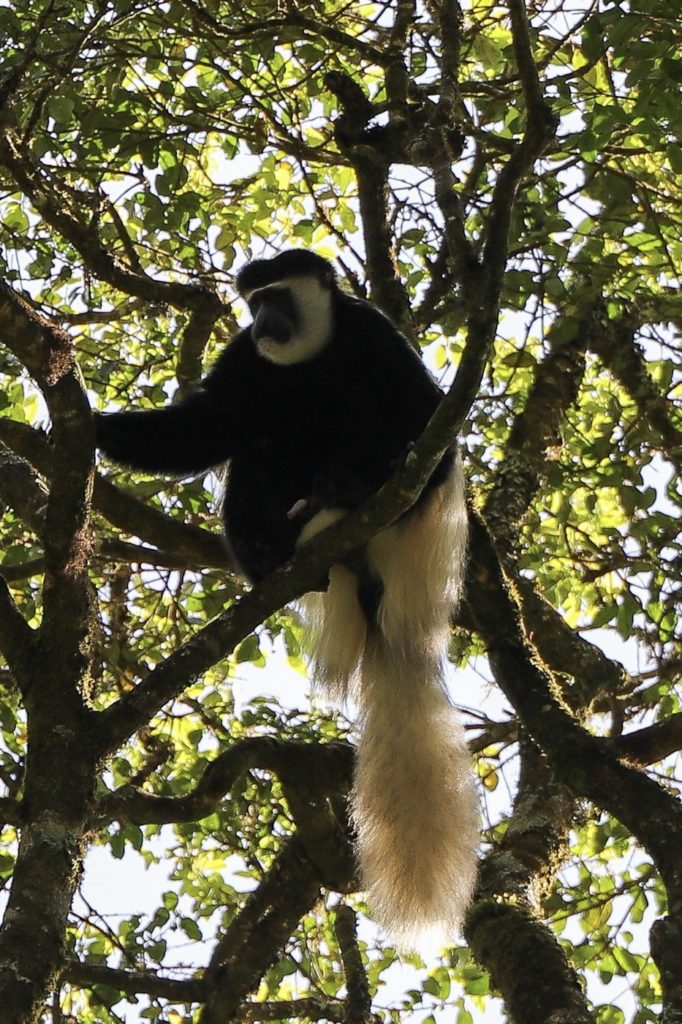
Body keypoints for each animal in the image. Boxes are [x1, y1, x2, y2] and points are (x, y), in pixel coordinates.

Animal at [94, 247, 477, 950]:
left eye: (279, 296)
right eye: (255, 301)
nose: (266, 319)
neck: (309, 355)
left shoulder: (372, 337)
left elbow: (423, 411)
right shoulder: (247, 357)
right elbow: (206, 426)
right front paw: (93, 424)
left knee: (380, 426)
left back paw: (342, 492)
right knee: (255, 442)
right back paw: (267, 553)